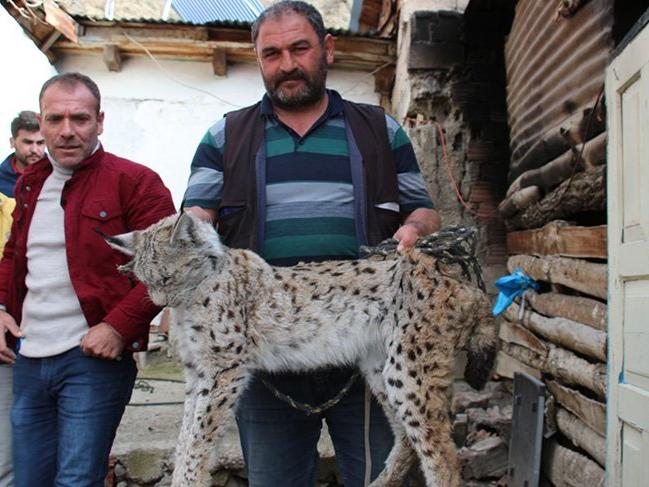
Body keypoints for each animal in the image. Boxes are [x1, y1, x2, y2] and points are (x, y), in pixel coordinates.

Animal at [104, 212, 497, 487]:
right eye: (145, 282)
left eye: (166, 279)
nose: (159, 302)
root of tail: (453, 279)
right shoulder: (197, 373)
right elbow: (185, 435)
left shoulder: (223, 369)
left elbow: (200, 435)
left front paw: (189, 478)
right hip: (382, 367)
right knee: (406, 438)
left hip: (410, 368)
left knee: (444, 452)